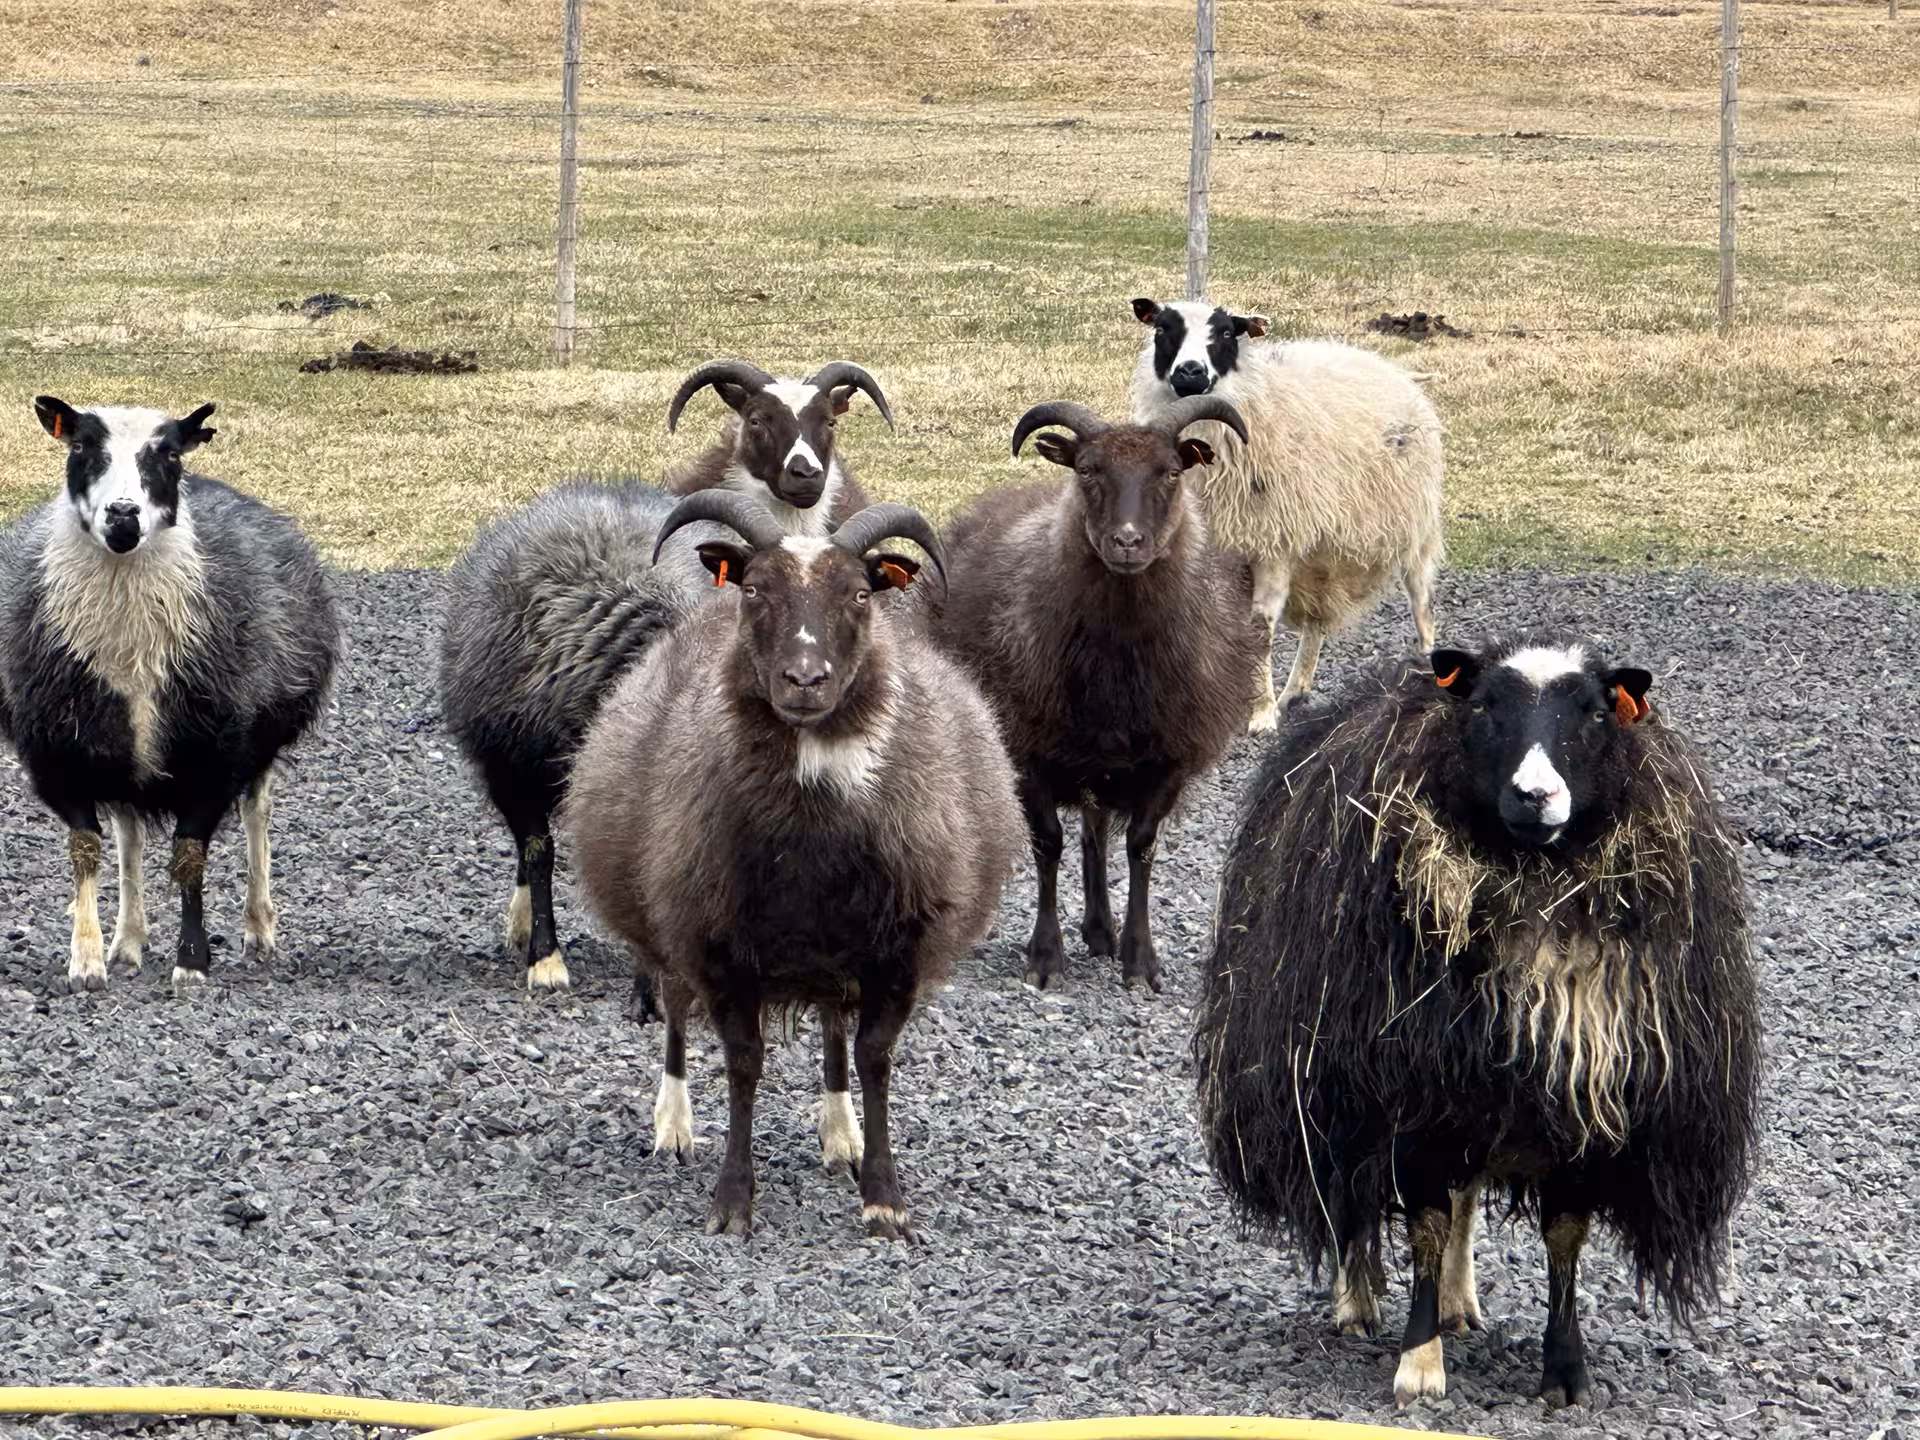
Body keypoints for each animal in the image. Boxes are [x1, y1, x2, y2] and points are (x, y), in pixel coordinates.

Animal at [0, 397, 339, 995]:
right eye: (81, 446)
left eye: (169, 455)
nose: (123, 514)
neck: (128, 653)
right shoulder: (59, 757)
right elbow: (86, 851)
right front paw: (86, 961)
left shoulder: (213, 757)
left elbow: (188, 858)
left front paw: (192, 962)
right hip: (122, 754)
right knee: (129, 838)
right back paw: (127, 943)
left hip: (258, 741)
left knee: (256, 815)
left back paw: (259, 930)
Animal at [566, 490, 1023, 1240]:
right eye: (755, 589)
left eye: (861, 593)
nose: (805, 680)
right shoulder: (717, 943)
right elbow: (743, 1065)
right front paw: (731, 1203)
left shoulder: (899, 949)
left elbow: (873, 1059)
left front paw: (884, 1199)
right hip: (665, 921)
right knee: (674, 1009)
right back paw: (673, 1126)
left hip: (837, 954)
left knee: (835, 1031)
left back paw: (842, 1135)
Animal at [919, 395, 1266, 993]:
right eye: (1086, 470)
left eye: (1170, 472)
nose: (1126, 542)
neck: (1117, 662)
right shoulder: (1029, 751)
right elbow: (1048, 843)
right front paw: (1045, 956)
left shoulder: (1167, 758)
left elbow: (1141, 847)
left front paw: (1140, 960)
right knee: (1087, 833)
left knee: (1098, 833)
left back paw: (1103, 931)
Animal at [1129, 297, 1446, 732]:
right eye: (1162, 329)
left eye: (1226, 332)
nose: (1190, 372)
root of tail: (1383, 363)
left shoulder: (1272, 545)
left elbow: (1259, 627)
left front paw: (1260, 714)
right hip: (1323, 556)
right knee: (1316, 622)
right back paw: (1295, 693)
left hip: (1415, 525)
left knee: (1421, 597)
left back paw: (1428, 662)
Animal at [1194, 637, 1761, 1409]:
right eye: (1488, 705)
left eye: (1594, 712)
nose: (1534, 796)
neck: (1532, 876)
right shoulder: (1412, 1097)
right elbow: (1426, 1228)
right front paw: (1419, 1364)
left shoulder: (1582, 1099)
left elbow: (1562, 1236)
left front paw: (1565, 1370)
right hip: (1333, 1080)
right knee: (1347, 1195)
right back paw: (1356, 1301)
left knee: (1462, 1198)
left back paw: (1459, 1303)